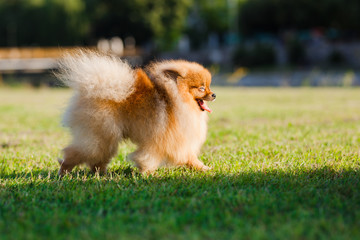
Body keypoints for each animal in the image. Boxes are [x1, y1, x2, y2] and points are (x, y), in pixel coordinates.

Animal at [56, 50, 214, 174]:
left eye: (208, 86)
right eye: (201, 88)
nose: (214, 95)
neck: (176, 100)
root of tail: (90, 89)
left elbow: (189, 157)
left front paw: (203, 168)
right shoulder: (162, 139)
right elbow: (154, 157)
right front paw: (148, 173)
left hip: (105, 138)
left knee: (97, 159)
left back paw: (101, 174)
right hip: (99, 136)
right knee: (74, 153)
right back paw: (64, 172)